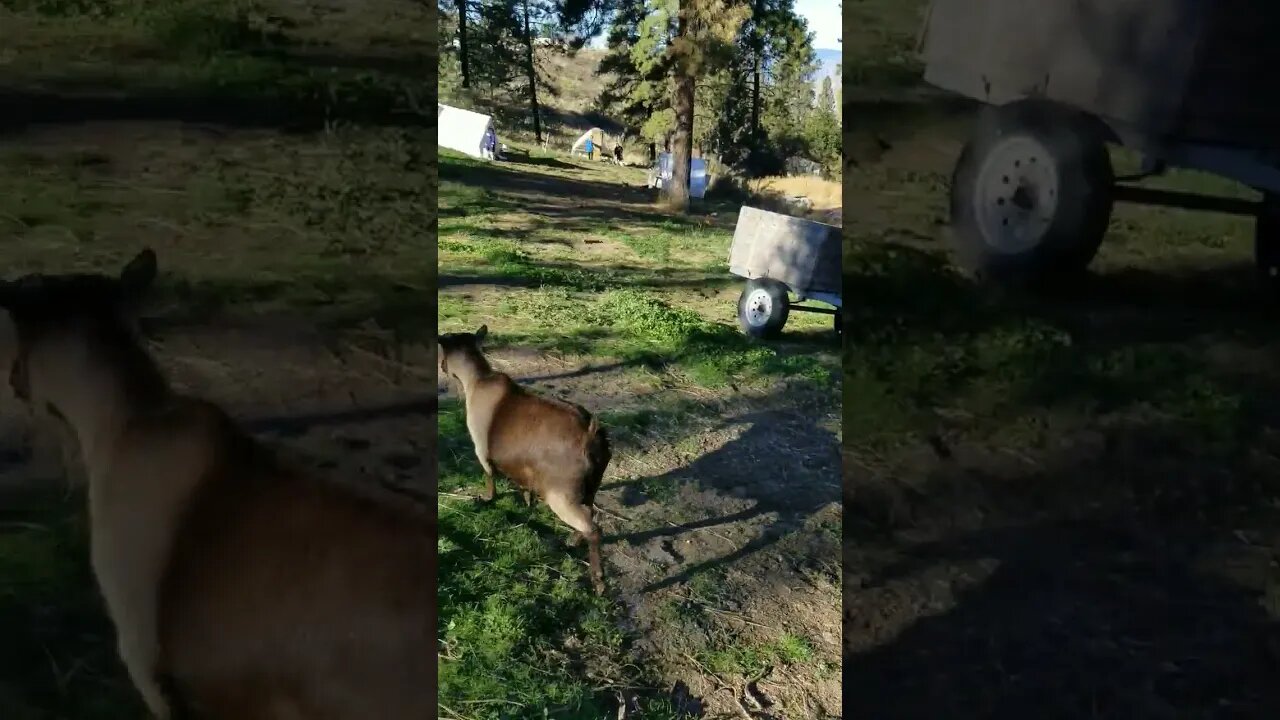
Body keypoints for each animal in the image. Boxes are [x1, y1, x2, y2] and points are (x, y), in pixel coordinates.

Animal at [438, 325, 609, 594]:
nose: (442, 367)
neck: (478, 379)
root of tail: (592, 435)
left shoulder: (480, 449)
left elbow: (489, 476)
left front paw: (486, 499)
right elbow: (524, 485)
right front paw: (528, 500)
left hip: (561, 496)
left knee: (594, 529)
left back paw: (598, 580)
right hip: (590, 488)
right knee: (589, 514)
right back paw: (573, 539)